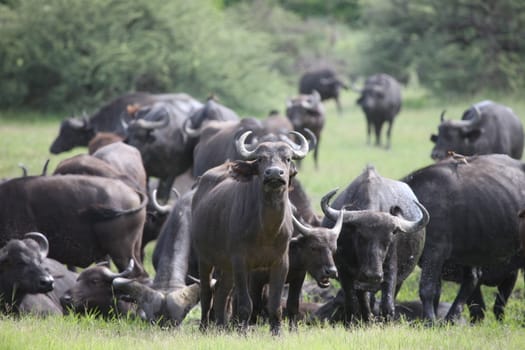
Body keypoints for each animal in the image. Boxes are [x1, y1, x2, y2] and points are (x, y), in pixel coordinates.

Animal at [191, 131, 308, 334]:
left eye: (287, 158)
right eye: (260, 159)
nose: (274, 173)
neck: (267, 230)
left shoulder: (281, 262)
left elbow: (275, 304)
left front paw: (276, 332)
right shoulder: (240, 261)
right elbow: (246, 304)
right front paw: (243, 331)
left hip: (226, 265)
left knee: (221, 292)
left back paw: (221, 327)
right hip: (204, 258)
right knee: (206, 292)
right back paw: (204, 327)